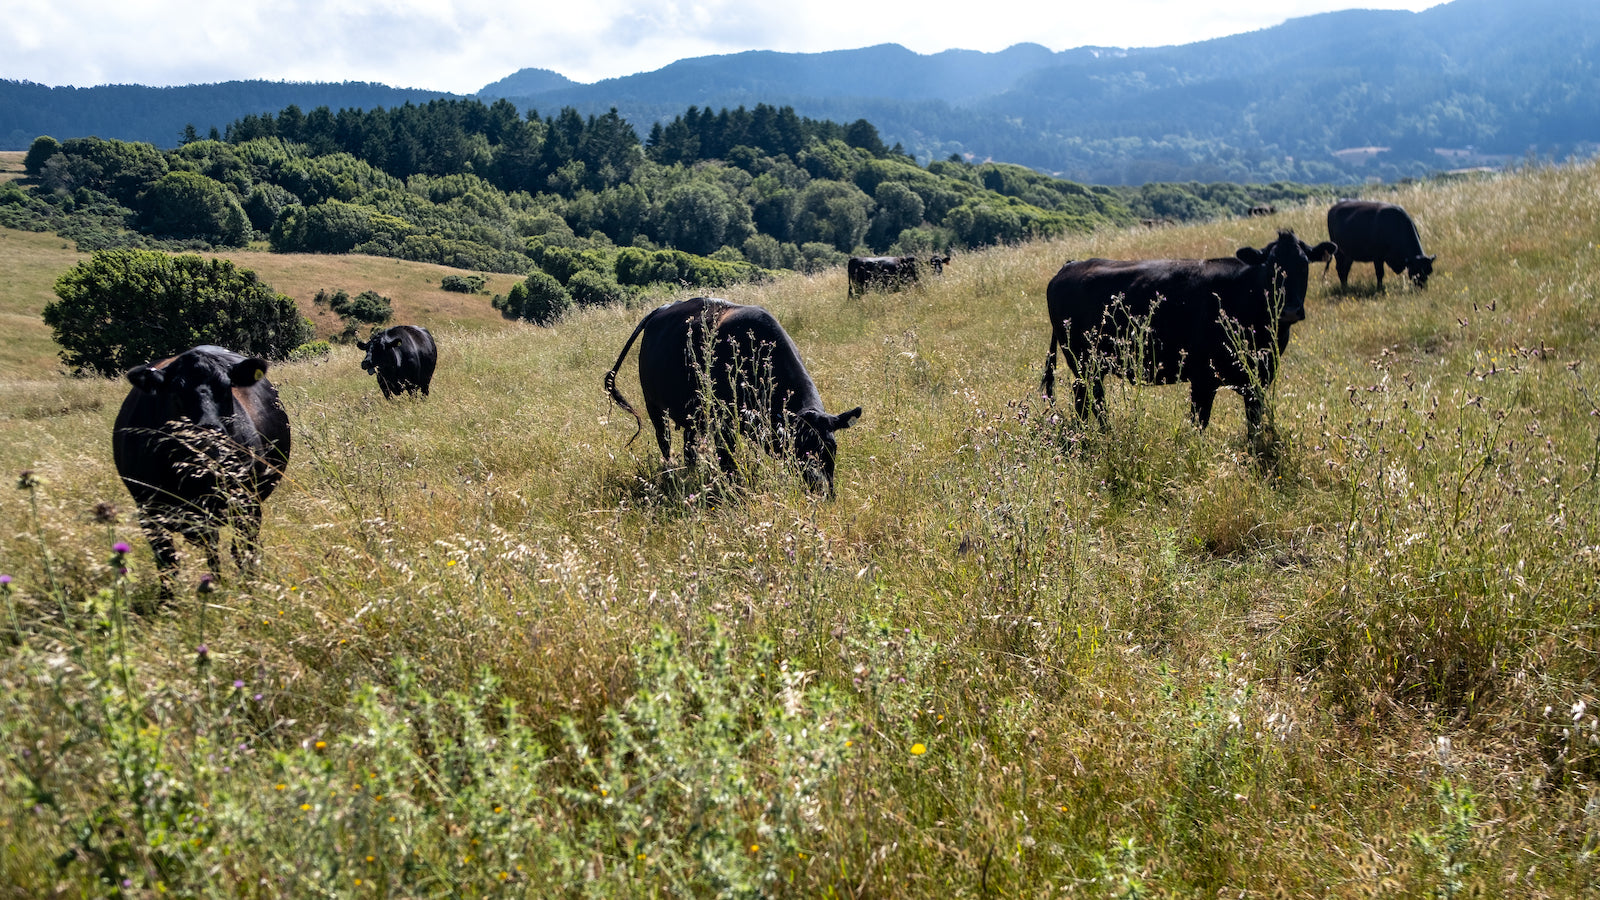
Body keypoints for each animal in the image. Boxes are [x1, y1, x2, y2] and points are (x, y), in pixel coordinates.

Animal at [112, 347, 294, 592]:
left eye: (226, 387)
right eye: (175, 391)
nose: (207, 433)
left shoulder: (247, 503)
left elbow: (243, 552)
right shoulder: (149, 512)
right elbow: (167, 564)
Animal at [604, 297, 864, 493]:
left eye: (832, 448)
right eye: (798, 450)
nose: (823, 491)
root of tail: (662, 309)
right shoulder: (724, 423)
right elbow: (727, 460)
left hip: (692, 415)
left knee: (689, 445)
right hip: (654, 406)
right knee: (665, 442)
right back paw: (671, 474)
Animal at [1036, 230, 1337, 441]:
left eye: (1304, 264)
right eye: (1272, 267)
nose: (1290, 310)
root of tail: (1070, 265)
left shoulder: (1258, 380)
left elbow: (1255, 421)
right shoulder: (1203, 378)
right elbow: (1199, 421)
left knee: (1088, 397)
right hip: (1084, 361)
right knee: (1089, 397)